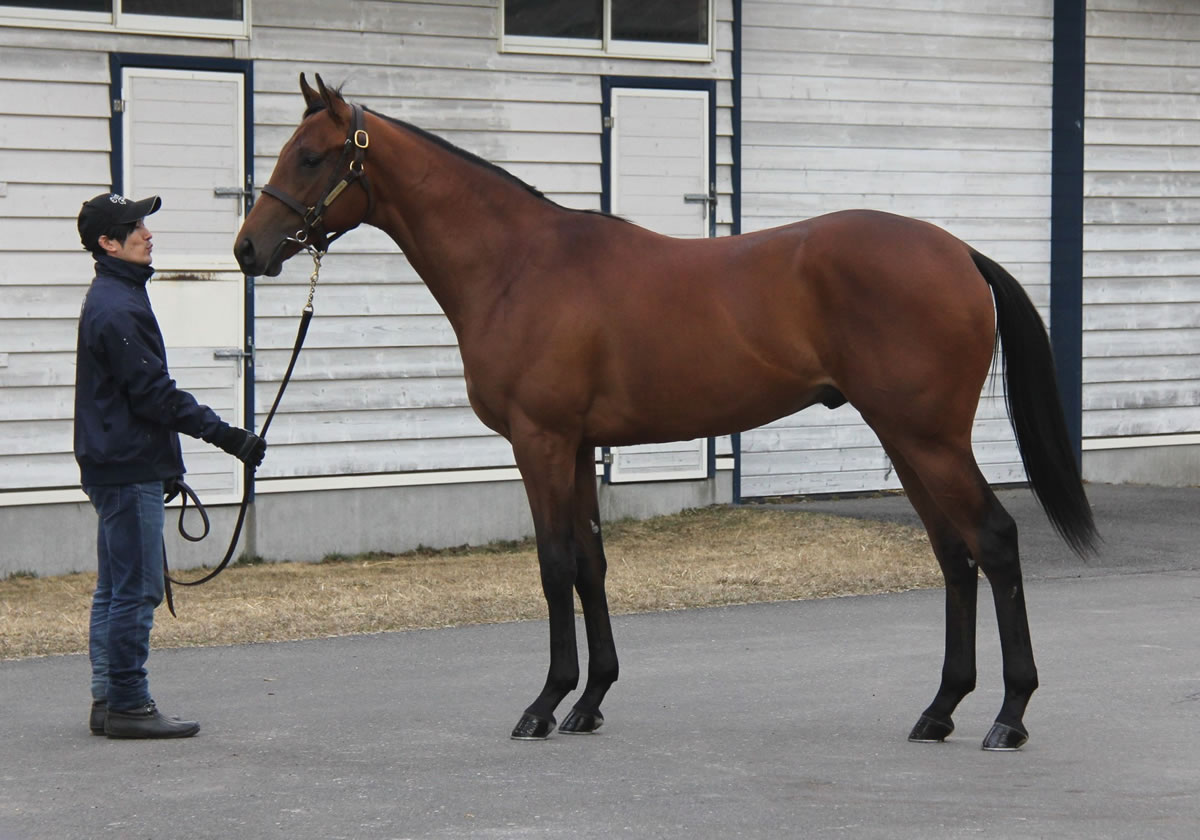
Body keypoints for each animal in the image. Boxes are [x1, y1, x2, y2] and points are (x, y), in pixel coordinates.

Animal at [231, 75, 1099, 753]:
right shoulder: (579, 447)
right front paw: (589, 702)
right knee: (955, 555)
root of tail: (959, 254)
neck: (518, 264)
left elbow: (554, 566)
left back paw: (1008, 714)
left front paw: (543, 704)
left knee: (994, 541)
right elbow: (590, 564)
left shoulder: (540, 442)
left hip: (930, 437)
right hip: (906, 437)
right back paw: (940, 710)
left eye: (310, 156)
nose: (247, 250)